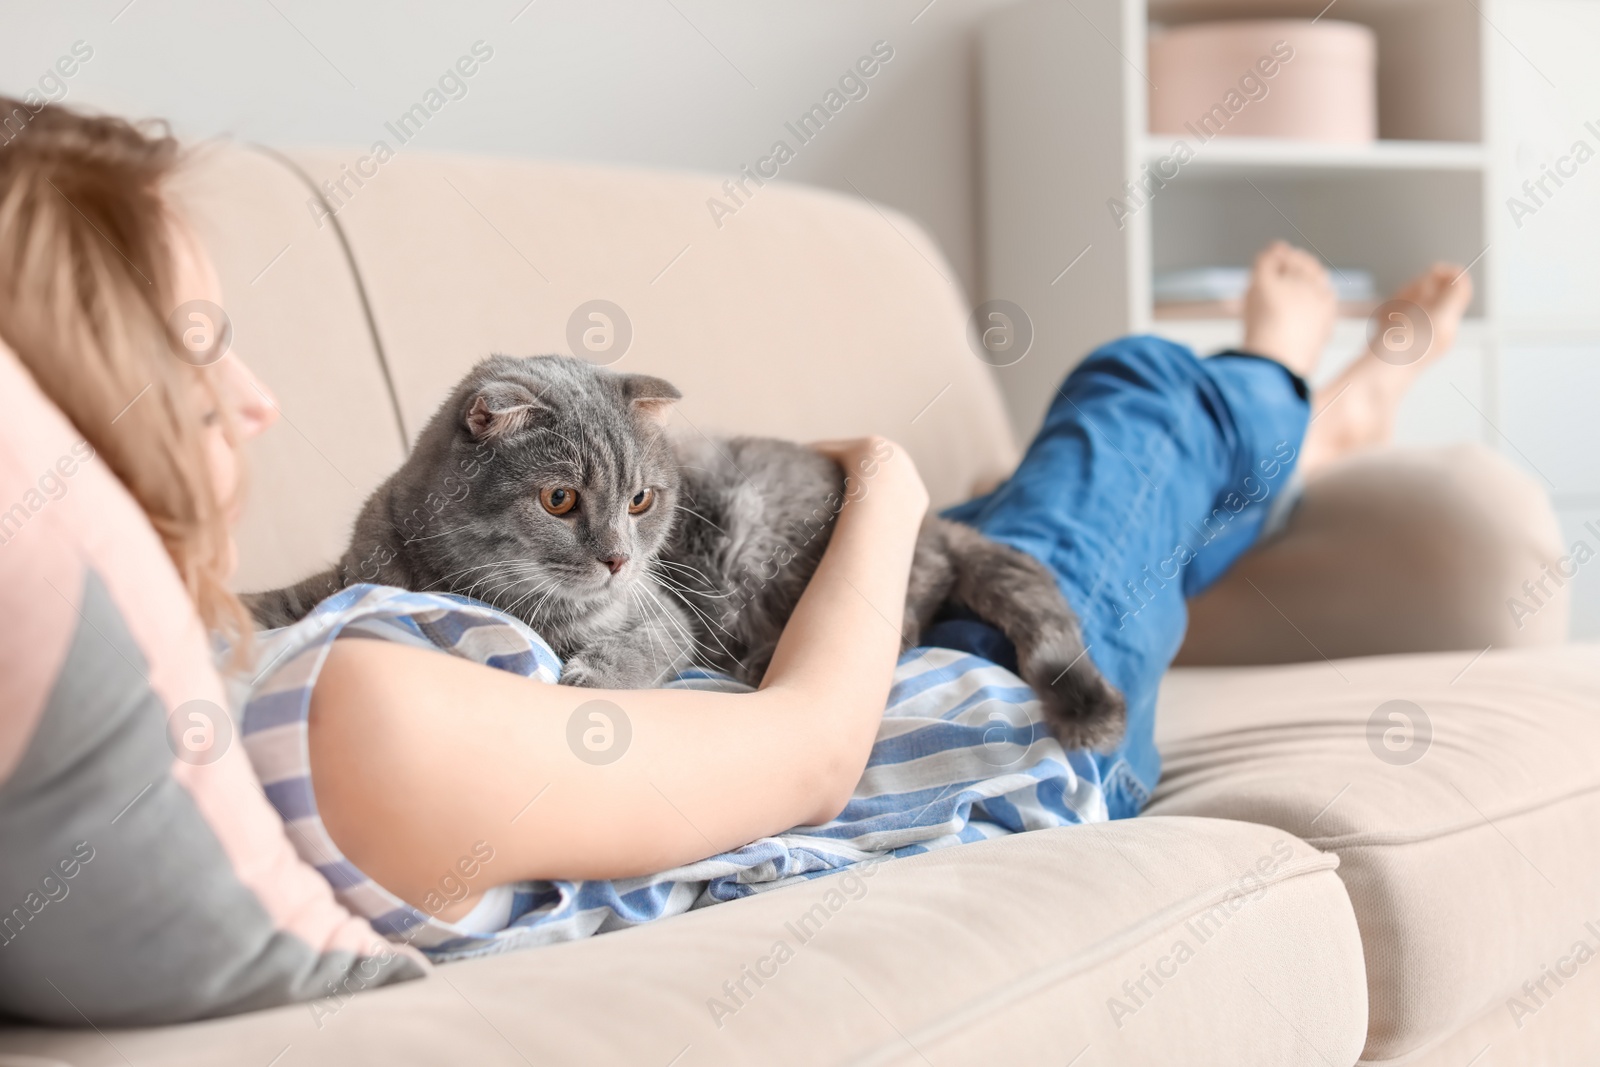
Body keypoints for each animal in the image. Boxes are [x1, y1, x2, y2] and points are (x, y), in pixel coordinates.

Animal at [249, 355, 1126, 748]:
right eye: (560, 498)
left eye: (641, 499)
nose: (617, 558)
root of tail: (933, 519)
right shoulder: (353, 569)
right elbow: (286, 600)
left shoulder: (664, 613)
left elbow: (641, 646)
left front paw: (596, 671)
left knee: (908, 612)